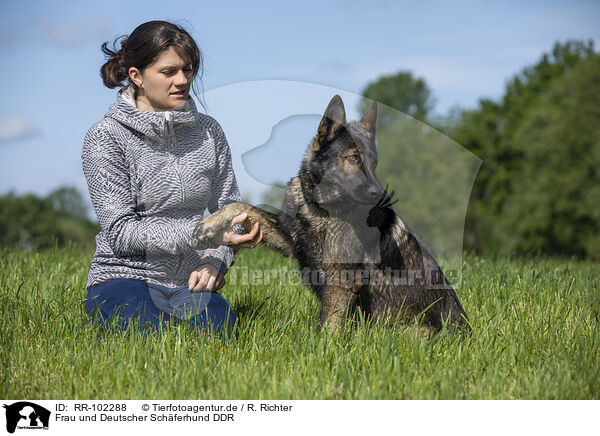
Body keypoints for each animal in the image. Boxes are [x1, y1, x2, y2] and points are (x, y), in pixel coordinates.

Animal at [193, 95, 468, 334]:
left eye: (373, 162)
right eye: (353, 158)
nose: (381, 196)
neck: (321, 210)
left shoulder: (341, 280)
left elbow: (327, 327)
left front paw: (322, 351)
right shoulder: (291, 240)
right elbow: (244, 207)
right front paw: (211, 223)